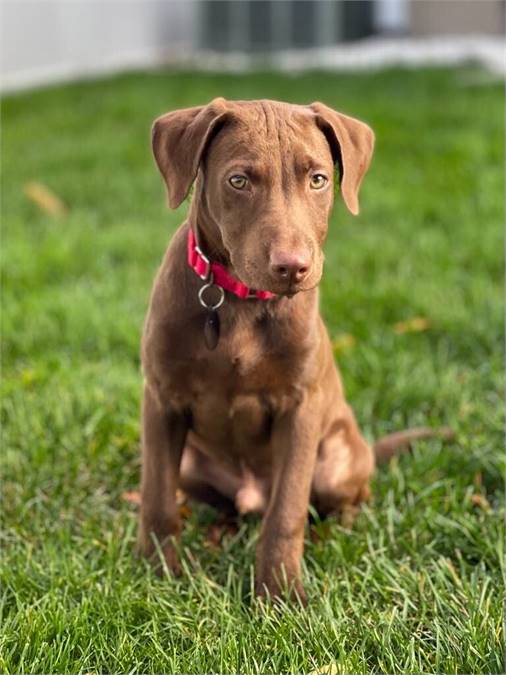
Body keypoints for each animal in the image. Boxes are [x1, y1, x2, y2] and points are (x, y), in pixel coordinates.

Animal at [137, 97, 446, 604]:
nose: (292, 267)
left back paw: (333, 534)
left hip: (338, 459)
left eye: (318, 179)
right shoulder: (161, 398)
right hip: (193, 464)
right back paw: (221, 530)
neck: (240, 302)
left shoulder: (300, 408)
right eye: (238, 181)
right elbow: (157, 496)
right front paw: (157, 573)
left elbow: (287, 509)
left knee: (337, 503)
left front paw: (279, 593)